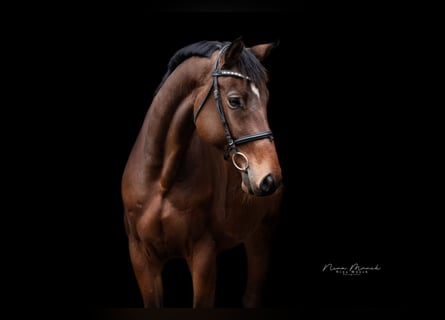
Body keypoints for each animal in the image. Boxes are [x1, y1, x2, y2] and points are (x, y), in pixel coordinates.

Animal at [119, 37, 282, 308]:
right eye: (235, 100)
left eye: (267, 100)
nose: (271, 178)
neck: (160, 181)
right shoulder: (141, 257)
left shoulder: (203, 255)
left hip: (263, 233)